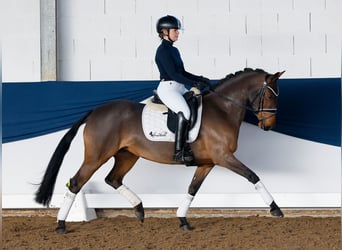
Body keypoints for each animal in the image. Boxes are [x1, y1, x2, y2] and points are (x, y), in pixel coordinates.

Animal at [35, 67, 286, 233]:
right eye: (269, 94)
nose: (269, 126)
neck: (223, 109)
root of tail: (95, 111)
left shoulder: (208, 162)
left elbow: (192, 189)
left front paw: (183, 220)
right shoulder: (224, 157)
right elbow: (252, 176)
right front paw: (275, 209)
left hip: (127, 155)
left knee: (113, 179)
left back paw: (139, 210)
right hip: (96, 156)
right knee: (76, 182)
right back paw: (61, 225)